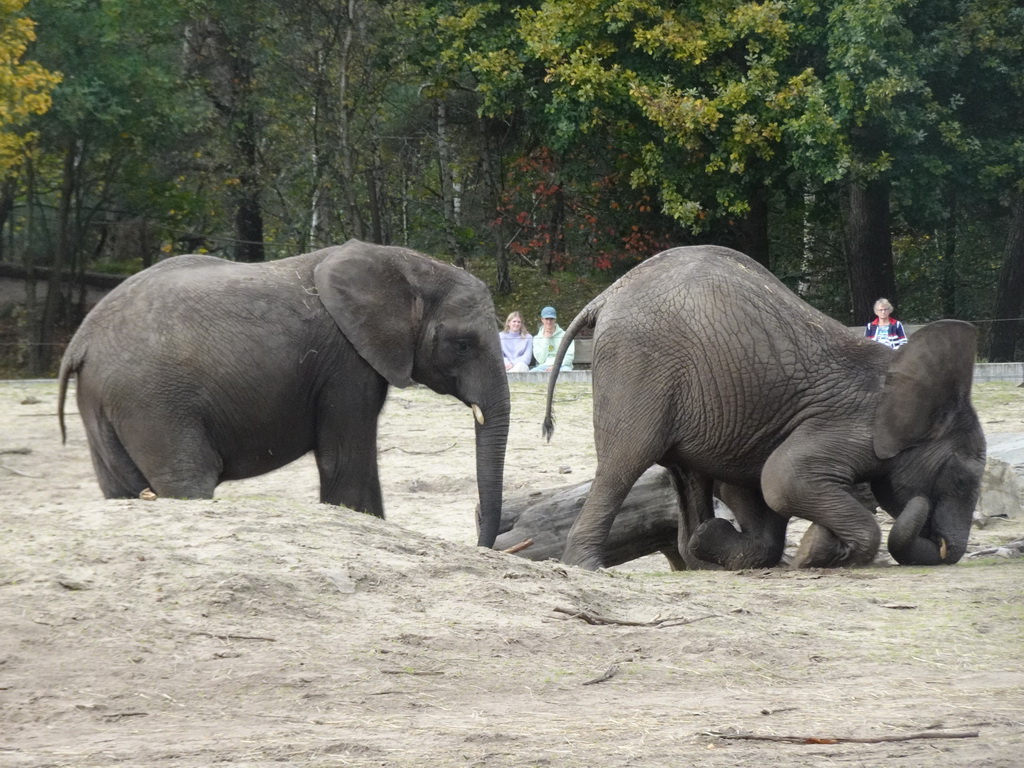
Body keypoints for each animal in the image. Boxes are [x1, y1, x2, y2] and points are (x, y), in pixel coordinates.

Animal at [59, 240, 512, 548]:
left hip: (105, 398)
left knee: (121, 487)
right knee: (188, 478)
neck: (406, 263)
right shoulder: (345, 363)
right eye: (464, 345)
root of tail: (80, 340)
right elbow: (345, 459)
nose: (478, 544)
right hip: (153, 400)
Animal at [544, 246, 983, 573]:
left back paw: (700, 554)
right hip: (639, 364)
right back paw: (587, 566)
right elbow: (783, 479)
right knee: (623, 463)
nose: (942, 545)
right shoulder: (845, 425)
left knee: (687, 477)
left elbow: (752, 491)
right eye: (962, 481)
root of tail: (609, 293)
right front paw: (814, 552)